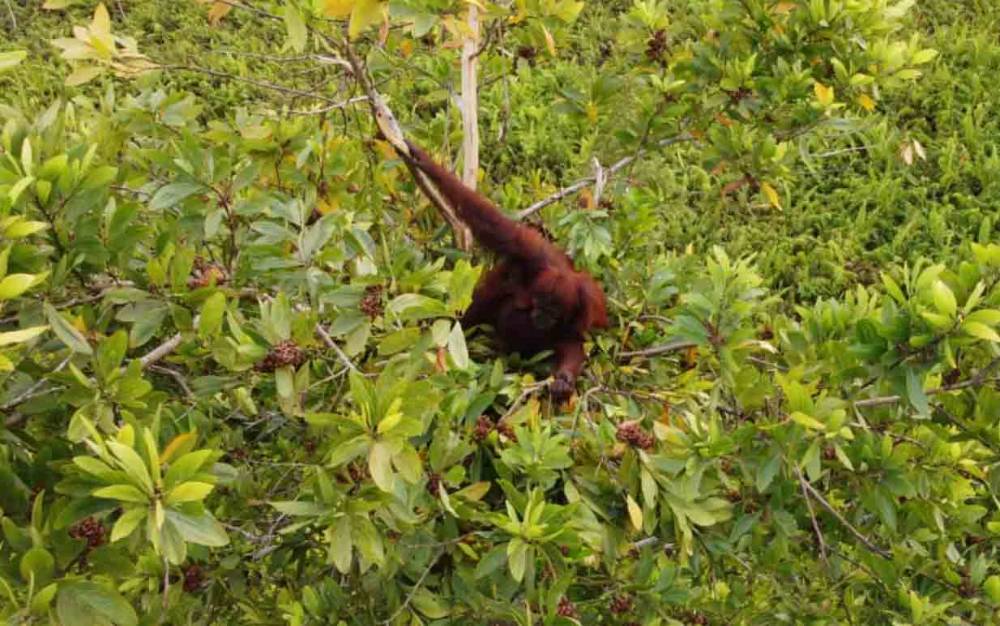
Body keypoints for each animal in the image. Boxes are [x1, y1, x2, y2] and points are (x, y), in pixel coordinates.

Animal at [399, 140, 608, 402]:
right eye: (540, 304)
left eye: (553, 311)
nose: (541, 317)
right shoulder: (529, 252)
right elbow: (493, 223)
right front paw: (425, 161)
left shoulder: (585, 305)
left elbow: (572, 339)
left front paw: (564, 379)